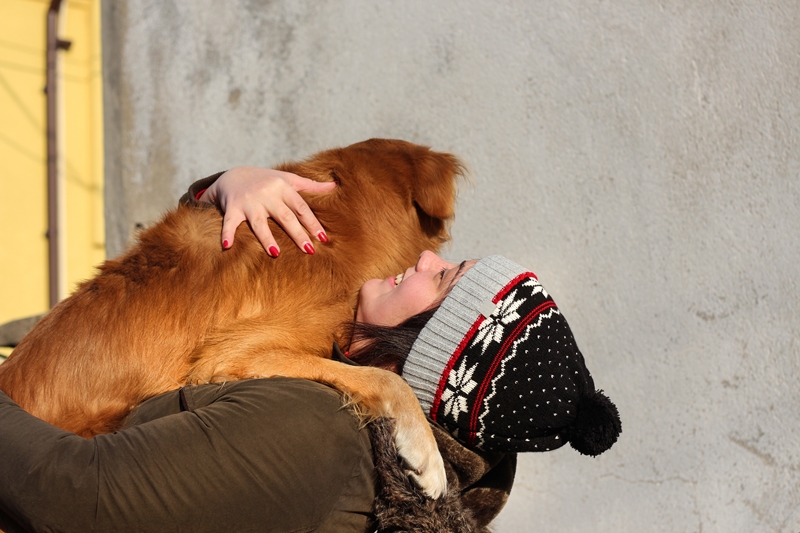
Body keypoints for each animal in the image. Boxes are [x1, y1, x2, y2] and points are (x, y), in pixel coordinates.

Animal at [0, 139, 462, 496]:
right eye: (442, 273)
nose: (431, 263)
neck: (351, 219)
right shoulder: (233, 353)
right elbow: (386, 378)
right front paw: (426, 452)